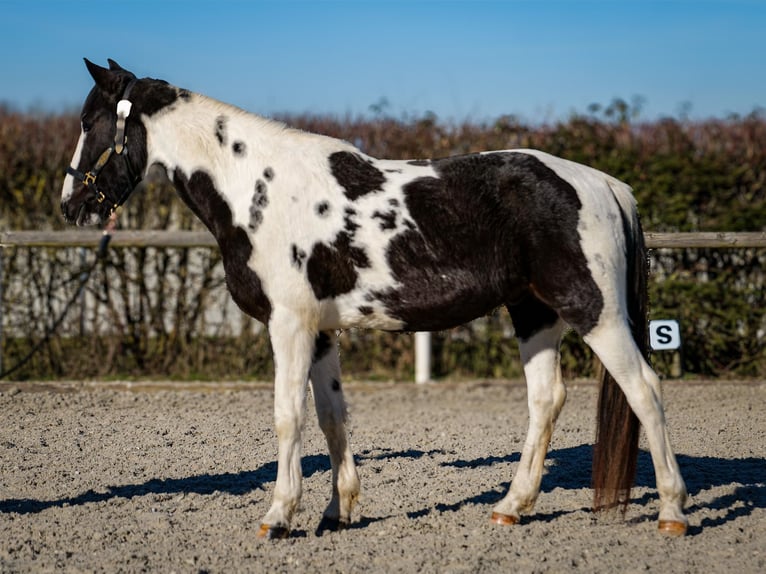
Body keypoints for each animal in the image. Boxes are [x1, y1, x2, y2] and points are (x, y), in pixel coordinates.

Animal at [60, 59, 688, 540]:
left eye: (91, 122)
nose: (71, 205)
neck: (258, 188)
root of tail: (604, 184)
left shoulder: (289, 325)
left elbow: (288, 417)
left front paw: (278, 516)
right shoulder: (319, 331)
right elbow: (332, 418)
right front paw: (336, 513)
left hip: (594, 311)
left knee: (644, 391)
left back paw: (672, 512)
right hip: (534, 314)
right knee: (546, 400)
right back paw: (511, 508)